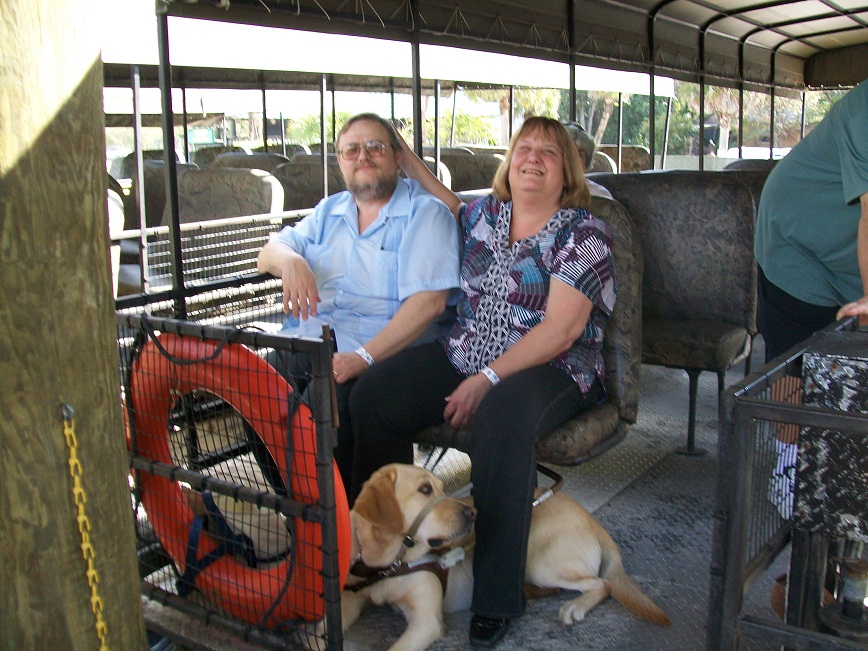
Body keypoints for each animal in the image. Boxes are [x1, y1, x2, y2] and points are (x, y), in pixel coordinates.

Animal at [342, 464, 668, 651]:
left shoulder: (426, 621)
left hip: (539, 560)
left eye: (442, 488)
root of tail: (593, 520)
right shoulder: (352, 598)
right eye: (424, 489)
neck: (390, 562)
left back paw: (575, 607)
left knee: (602, 584)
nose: (472, 512)